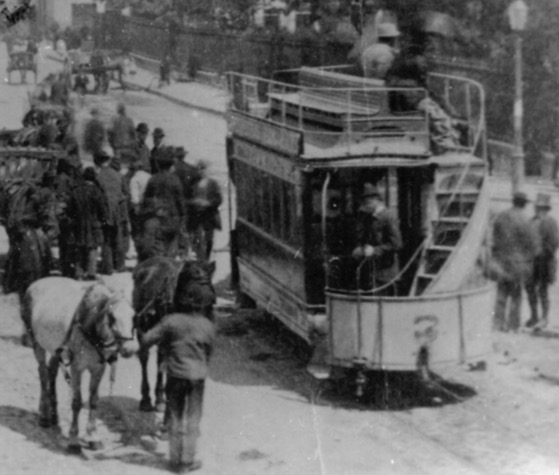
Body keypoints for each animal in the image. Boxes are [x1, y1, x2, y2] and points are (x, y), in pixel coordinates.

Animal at [22, 278, 139, 454]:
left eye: (133, 315)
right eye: (111, 316)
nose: (130, 348)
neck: (88, 323)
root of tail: (36, 283)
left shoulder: (98, 368)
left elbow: (93, 400)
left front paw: (93, 437)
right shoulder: (76, 367)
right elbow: (77, 402)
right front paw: (74, 440)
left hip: (57, 350)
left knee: (51, 371)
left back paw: (54, 415)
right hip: (37, 344)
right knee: (42, 372)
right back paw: (44, 416)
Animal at [133, 256, 217, 412]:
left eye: (211, 302)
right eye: (192, 296)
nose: (202, 330)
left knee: (160, 358)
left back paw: (159, 398)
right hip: (144, 325)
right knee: (144, 356)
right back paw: (146, 399)